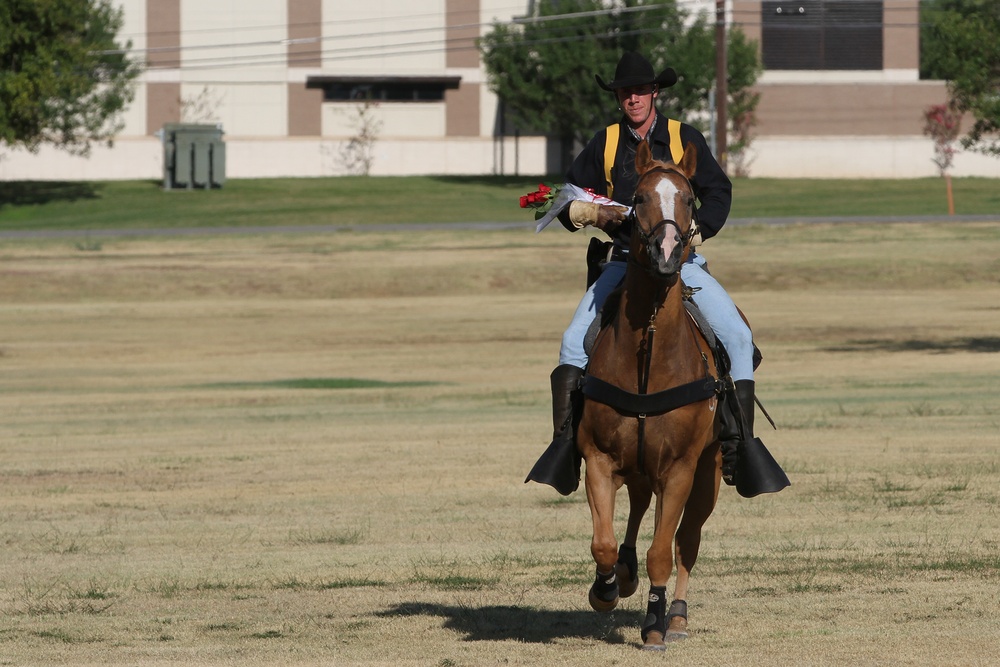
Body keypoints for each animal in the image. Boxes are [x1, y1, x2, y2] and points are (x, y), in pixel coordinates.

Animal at [576, 141, 724, 652]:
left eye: (689, 199)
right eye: (638, 198)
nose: (666, 254)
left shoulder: (680, 467)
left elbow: (664, 550)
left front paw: (656, 623)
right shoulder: (598, 457)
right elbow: (601, 542)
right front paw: (606, 587)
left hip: (706, 473)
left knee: (686, 540)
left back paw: (676, 615)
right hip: (639, 466)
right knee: (638, 510)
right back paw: (623, 573)